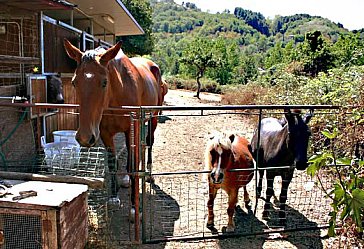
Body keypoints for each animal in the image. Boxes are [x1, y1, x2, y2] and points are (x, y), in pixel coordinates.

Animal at [63, 40, 164, 215]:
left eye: (104, 82)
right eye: (74, 82)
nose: (84, 137)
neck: (117, 94)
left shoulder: (130, 130)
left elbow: (132, 165)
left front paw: (134, 207)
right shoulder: (105, 133)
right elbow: (112, 164)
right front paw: (114, 197)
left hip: (153, 118)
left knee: (149, 142)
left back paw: (149, 173)